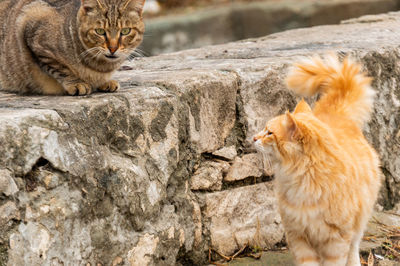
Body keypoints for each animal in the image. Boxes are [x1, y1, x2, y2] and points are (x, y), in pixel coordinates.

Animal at [0, 0, 145, 95]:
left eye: (125, 31)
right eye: (100, 31)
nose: (113, 48)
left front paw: (104, 82)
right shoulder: (32, 27)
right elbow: (60, 68)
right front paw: (76, 83)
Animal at [253, 54, 382, 266]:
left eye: (269, 133)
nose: (253, 138)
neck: (304, 178)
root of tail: (335, 115)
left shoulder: (337, 239)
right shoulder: (298, 235)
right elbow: (308, 262)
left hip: (359, 221)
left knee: (354, 247)